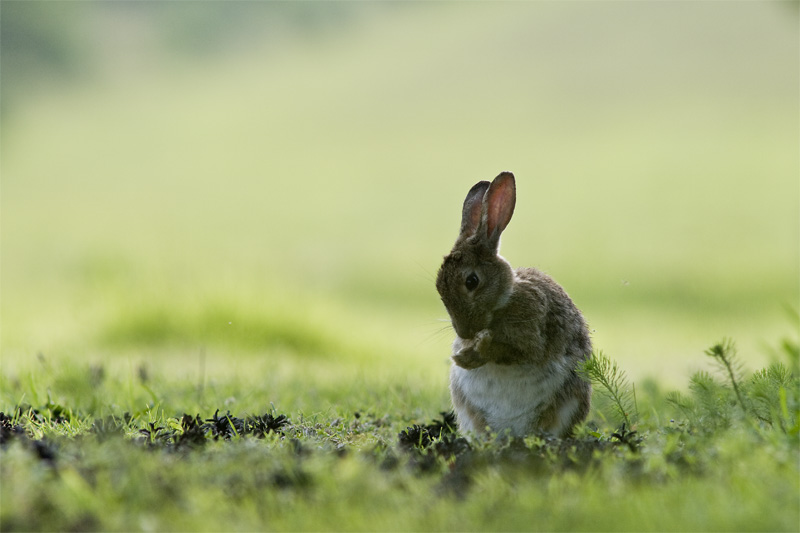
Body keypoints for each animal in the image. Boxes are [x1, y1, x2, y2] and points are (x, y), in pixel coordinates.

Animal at [435, 171, 592, 438]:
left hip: (570, 396)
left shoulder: (533, 332)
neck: (503, 301)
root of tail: (510, 432)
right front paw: (464, 357)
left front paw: (480, 351)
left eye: (472, 281)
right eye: (439, 287)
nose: (464, 332)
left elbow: (518, 352)